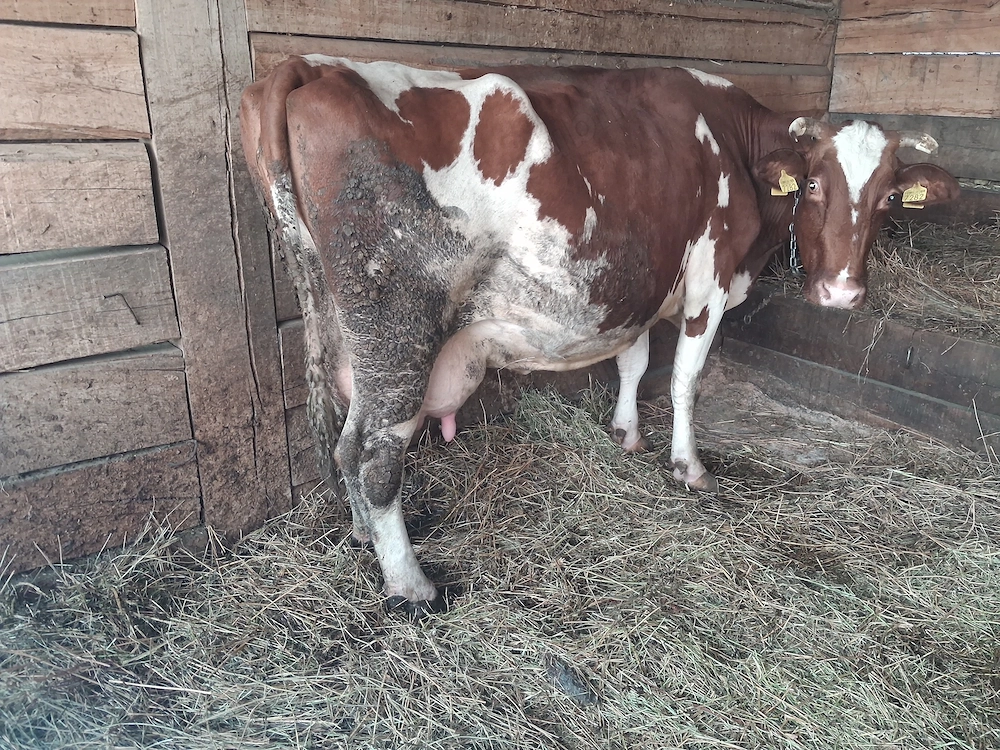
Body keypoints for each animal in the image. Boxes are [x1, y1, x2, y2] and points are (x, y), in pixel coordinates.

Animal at [240, 57, 960, 615]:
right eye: (812, 184)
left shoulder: (635, 288)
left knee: (339, 438)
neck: (732, 141)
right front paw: (688, 466)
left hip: (331, 316)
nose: (841, 293)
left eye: (889, 198)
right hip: (397, 323)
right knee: (372, 452)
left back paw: (366, 537)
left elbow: (633, 362)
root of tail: (311, 67)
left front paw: (625, 432)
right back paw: (411, 584)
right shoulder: (708, 282)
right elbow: (685, 378)